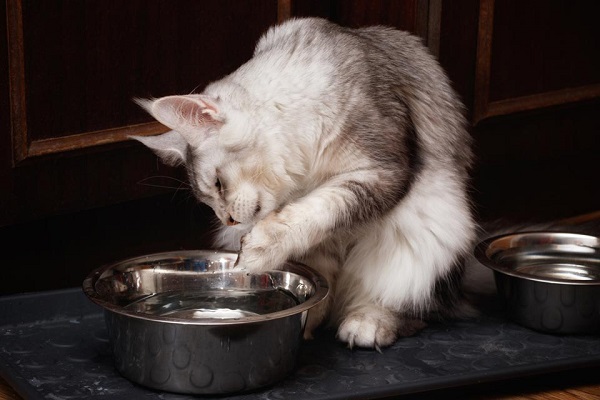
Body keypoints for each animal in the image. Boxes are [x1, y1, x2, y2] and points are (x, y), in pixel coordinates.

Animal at [134, 18, 476, 350]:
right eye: (209, 200)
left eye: (218, 184)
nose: (228, 219)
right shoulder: (320, 229)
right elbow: (314, 256)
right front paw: (307, 315)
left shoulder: (380, 171)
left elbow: (316, 211)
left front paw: (260, 249)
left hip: (433, 229)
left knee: (411, 306)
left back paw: (368, 322)